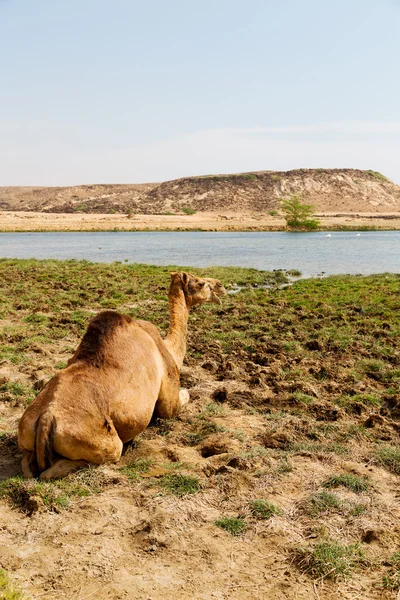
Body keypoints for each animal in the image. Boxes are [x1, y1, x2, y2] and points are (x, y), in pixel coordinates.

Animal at [18, 272, 225, 478]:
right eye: (201, 283)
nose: (221, 286)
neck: (169, 348)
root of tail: (46, 418)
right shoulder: (169, 397)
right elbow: (182, 398)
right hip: (101, 442)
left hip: (26, 436)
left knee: (27, 467)